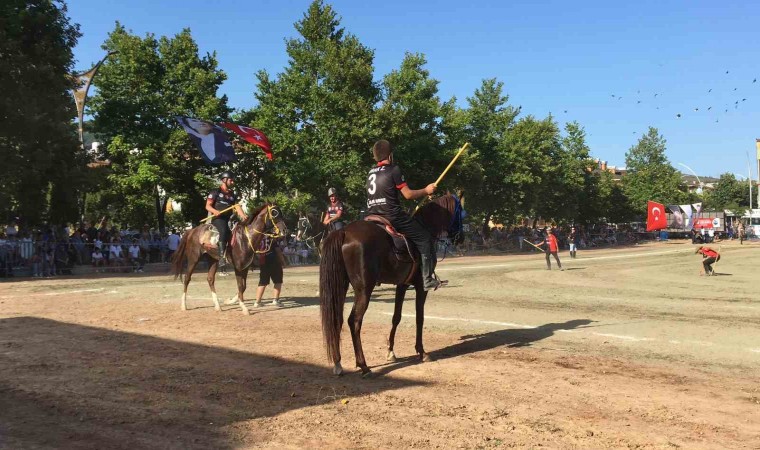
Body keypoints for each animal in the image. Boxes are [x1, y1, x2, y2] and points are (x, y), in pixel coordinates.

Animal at [316, 194, 464, 376]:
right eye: (461, 212)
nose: (461, 237)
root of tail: (343, 232)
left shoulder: (402, 285)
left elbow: (396, 317)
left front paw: (390, 351)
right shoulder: (421, 287)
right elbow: (419, 318)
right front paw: (421, 351)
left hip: (341, 286)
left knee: (337, 319)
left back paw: (338, 363)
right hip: (364, 289)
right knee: (354, 321)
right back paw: (363, 365)